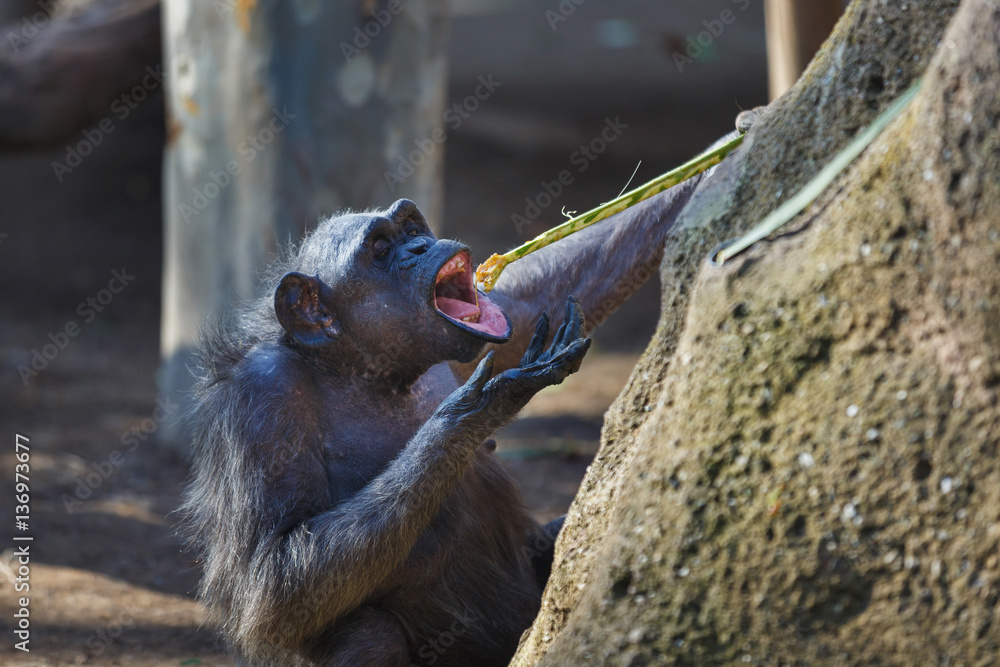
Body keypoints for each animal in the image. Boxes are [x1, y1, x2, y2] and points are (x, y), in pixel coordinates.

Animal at [179, 117, 758, 666]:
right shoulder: (260, 401)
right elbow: (268, 579)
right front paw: (479, 407)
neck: (365, 370)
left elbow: (533, 298)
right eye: (381, 249)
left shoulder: (487, 333)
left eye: (411, 226)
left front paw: (731, 143)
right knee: (367, 637)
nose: (420, 244)